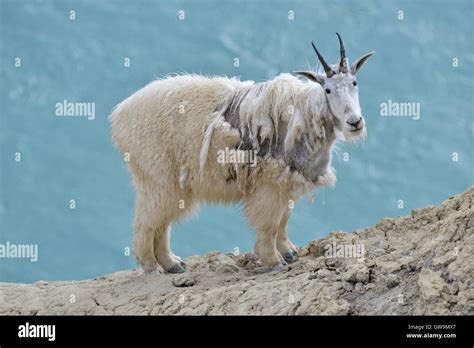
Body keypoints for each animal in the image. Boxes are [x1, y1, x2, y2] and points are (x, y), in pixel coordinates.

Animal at [111, 34, 374, 274]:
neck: (306, 117)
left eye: (354, 82)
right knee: (147, 222)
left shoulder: (287, 181)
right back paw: (152, 266)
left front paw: (289, 252)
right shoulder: (269, 185)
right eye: (328, 89)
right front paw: (274, 261)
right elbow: (269, 224)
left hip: (173, 184)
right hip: (158, 179)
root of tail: (120, 116)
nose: (355, 122)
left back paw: (173, 264)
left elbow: (283, 220)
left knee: (162, 223)